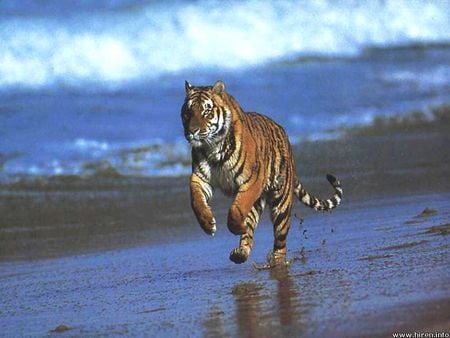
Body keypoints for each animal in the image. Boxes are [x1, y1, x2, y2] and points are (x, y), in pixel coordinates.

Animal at [179, 80, 342, 266]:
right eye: (188, 112)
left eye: (206, 111)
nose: (192, 132)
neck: (213, 147)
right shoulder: (200, 178)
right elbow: (196, 201)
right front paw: (208, 224)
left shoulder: (252, 180)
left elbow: (237, 209)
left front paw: (236, 226)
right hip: (258, 202)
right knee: (249, 232)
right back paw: (240, 253)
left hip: (281, 204)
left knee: (280, 240)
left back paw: (276, 261)